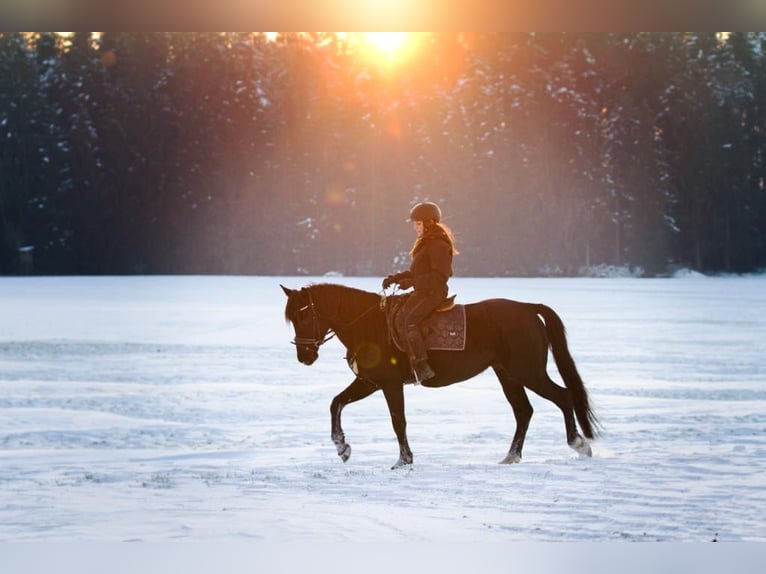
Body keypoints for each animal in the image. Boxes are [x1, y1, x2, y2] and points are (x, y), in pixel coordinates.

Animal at [282, 282, 600, 470]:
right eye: (292, 318)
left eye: (304, 315)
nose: (304, 356)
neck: (368, 324)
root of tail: (528, 308)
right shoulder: (369, 382)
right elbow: (336, 403)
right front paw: (342, 447)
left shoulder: (389, 384)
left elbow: (398, 421)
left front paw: (404, 460)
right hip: (508, 374)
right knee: (524, 411)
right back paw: (511, 456)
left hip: (528, 371)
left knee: (562, 397)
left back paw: (579, 444)